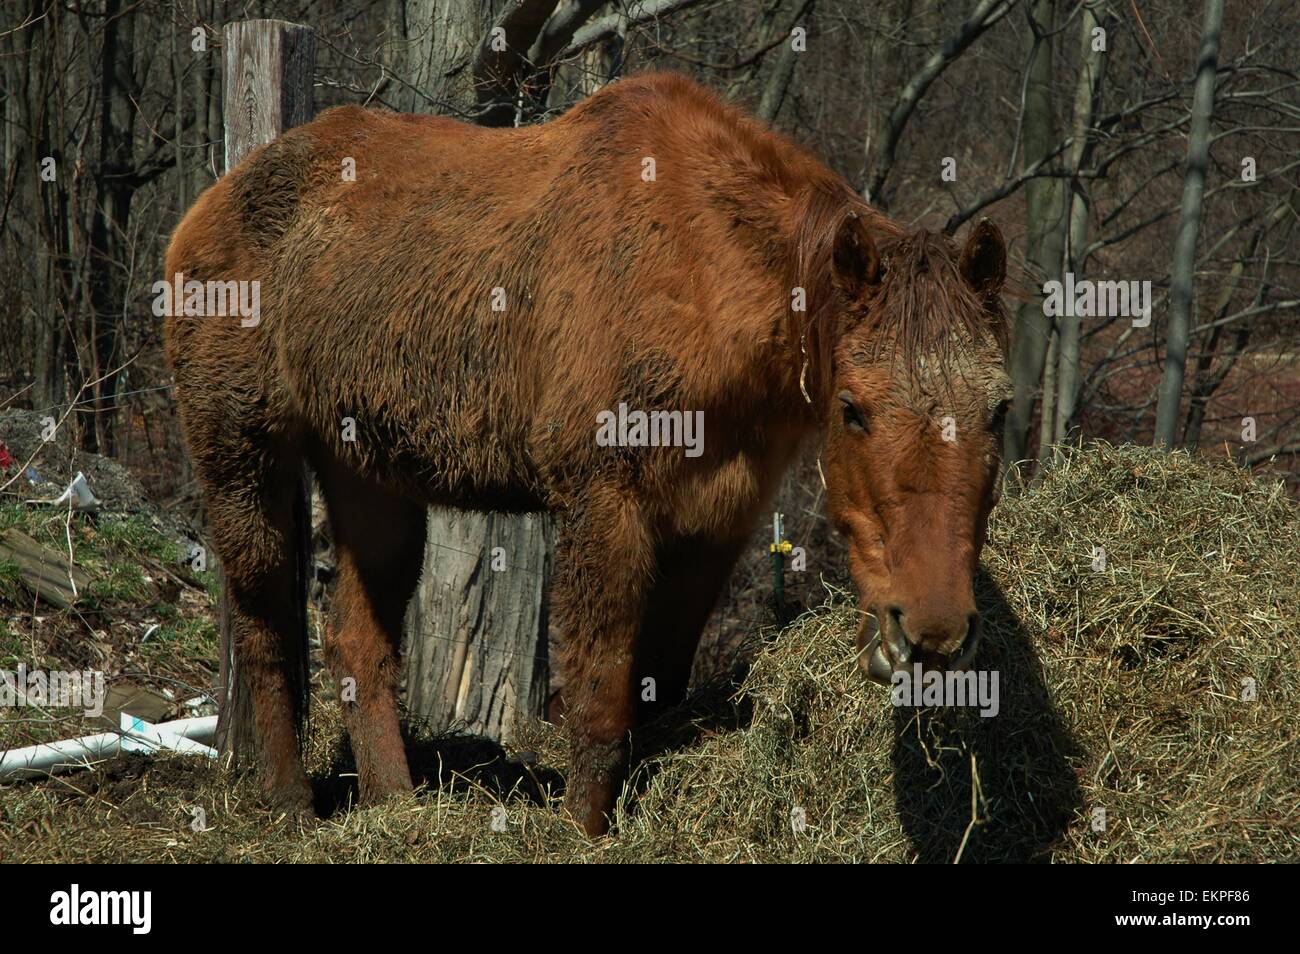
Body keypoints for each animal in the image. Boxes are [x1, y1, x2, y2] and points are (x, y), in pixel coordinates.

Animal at [162, 72, 1008, 837]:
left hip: (368, 476)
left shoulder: (717, 521)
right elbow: (598, 700)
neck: (709, 280)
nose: (933, 631)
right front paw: (582, 828)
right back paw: (288, 799)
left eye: (998, 408)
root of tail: (204, 209)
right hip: (243, 448)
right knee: (263, 619)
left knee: (355, 643)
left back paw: (394, 805)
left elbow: (657, 688)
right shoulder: (607, 501)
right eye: (852, 409)